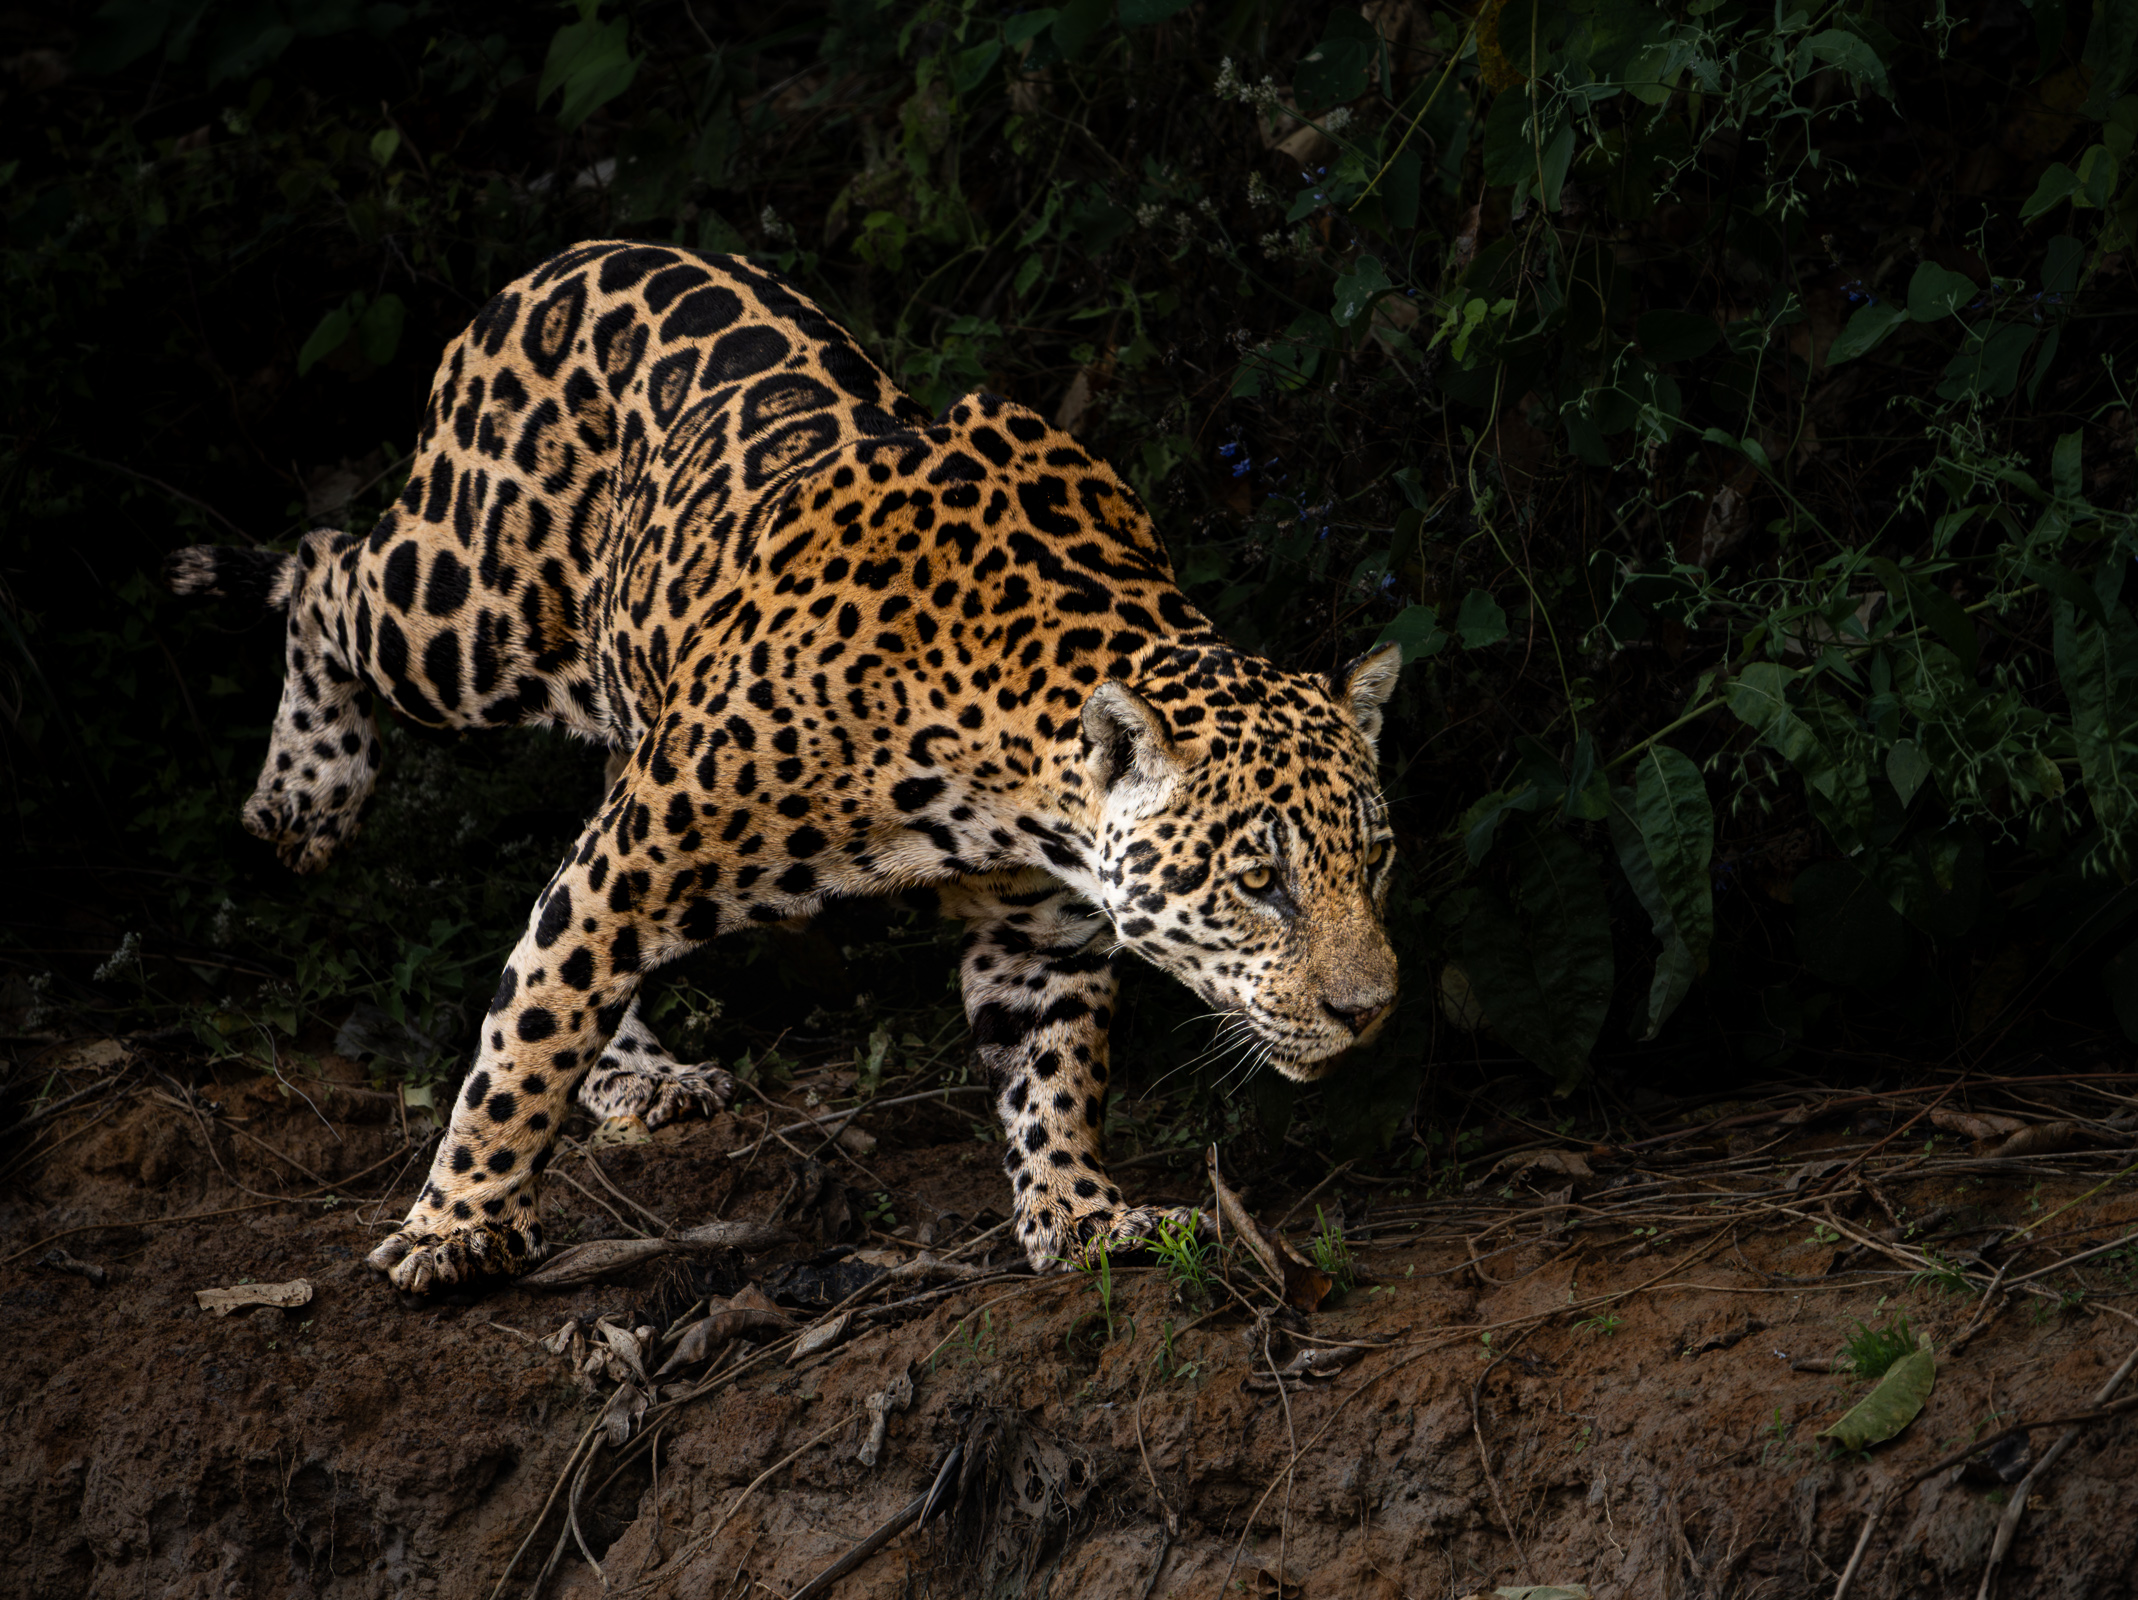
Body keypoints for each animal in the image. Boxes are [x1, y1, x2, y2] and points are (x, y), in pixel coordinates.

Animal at [165, 239, 1402, 1296]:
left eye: (1375, 862)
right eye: (1259, 883)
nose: (1369, 1012)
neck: (1006, 773)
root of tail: (556, 262)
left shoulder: (1037, 931)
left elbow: (1052, 1069)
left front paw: (1080, 1213)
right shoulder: (639, 858)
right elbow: (526, 1037)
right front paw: (456, 1225)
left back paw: (640, 1073)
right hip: (459, 613)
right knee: (326, 569)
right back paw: (303, 794)